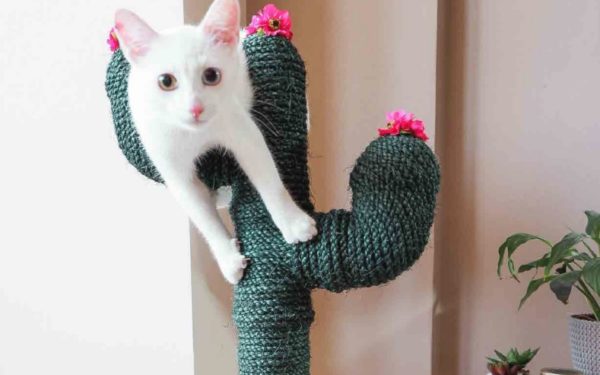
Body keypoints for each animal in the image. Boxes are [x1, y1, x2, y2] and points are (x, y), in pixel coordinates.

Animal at [114, 0, 316, 284]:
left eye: (211, 75)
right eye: (166, 81)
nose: (195, 108)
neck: (195, 135)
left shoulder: (243, 131)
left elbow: (270, 182)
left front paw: (293, 223)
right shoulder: (172, 167)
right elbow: (202, 214)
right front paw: (228, 258)